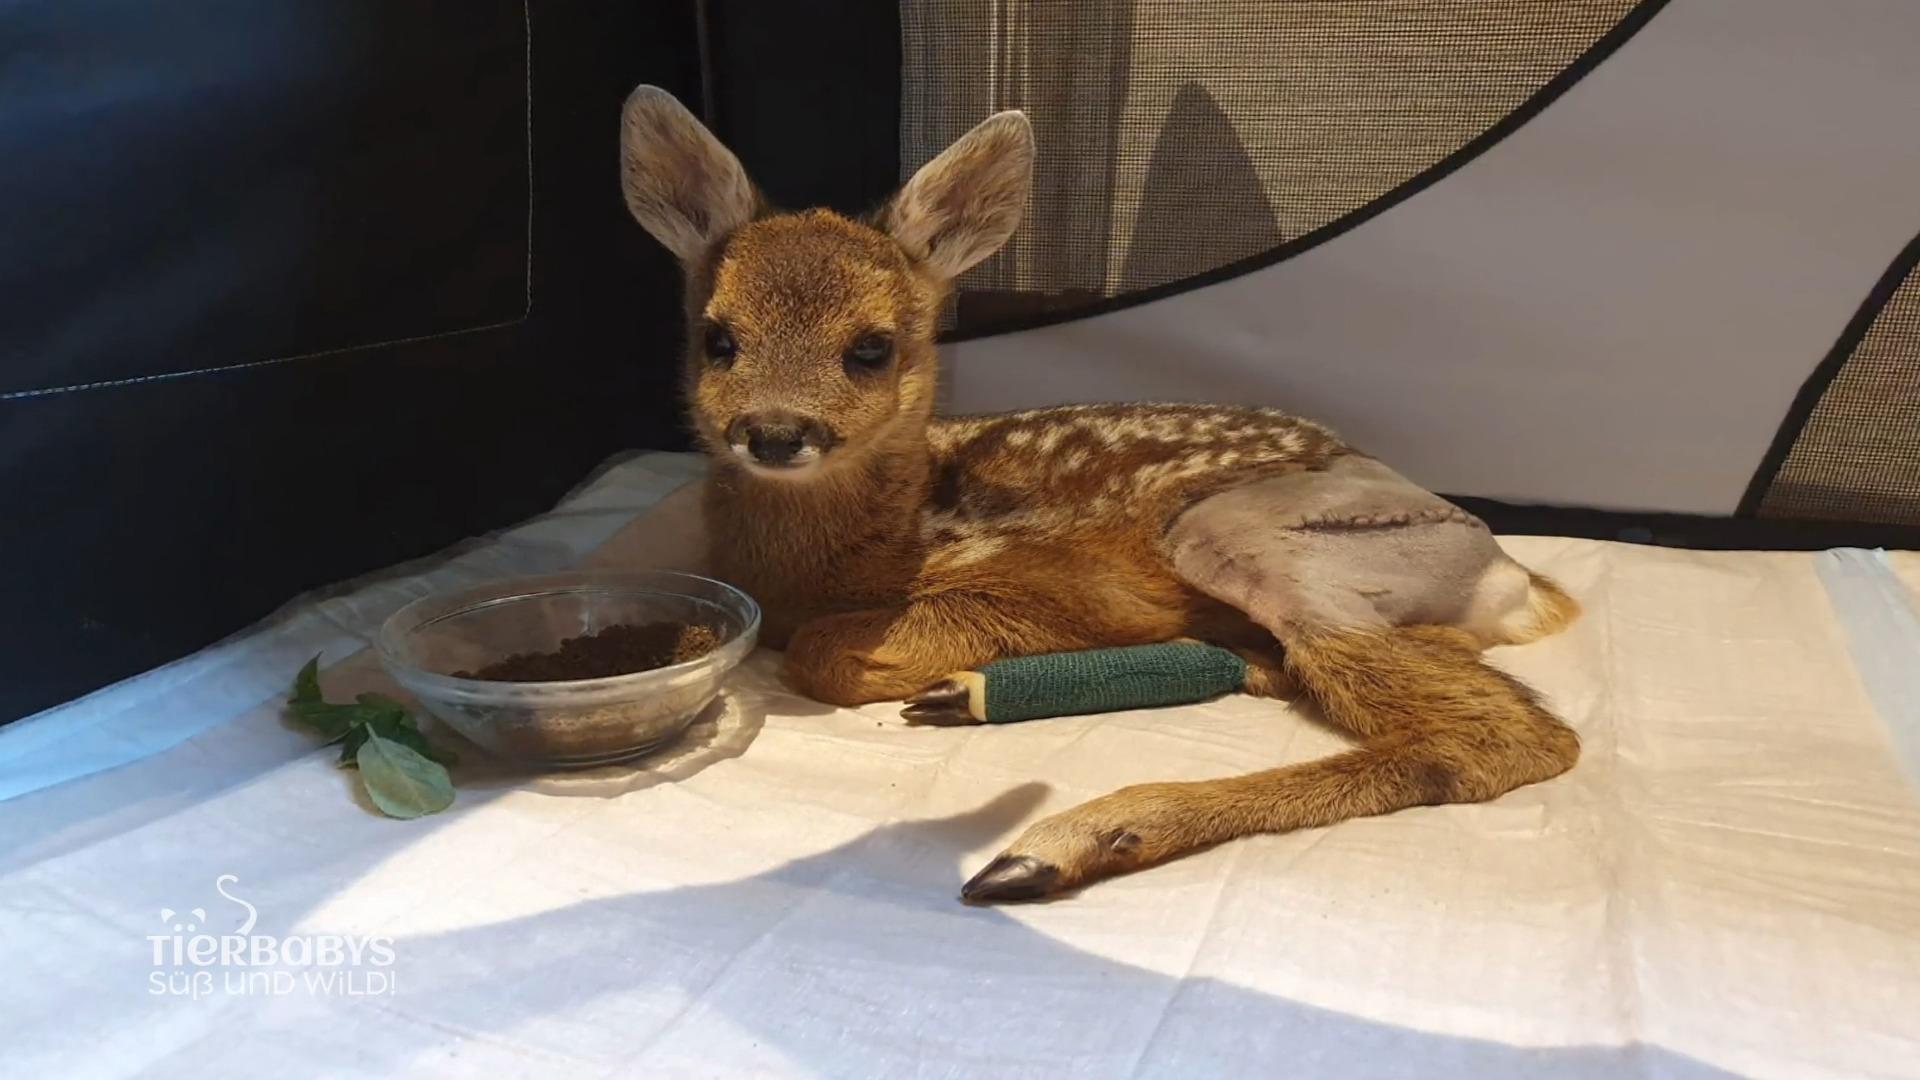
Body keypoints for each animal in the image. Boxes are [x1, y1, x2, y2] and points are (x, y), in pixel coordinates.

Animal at [617, 86, 1582, 904]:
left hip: (1243, 536)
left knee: (1510, 736)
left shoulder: (1062, 590)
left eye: (871, 347)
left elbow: (823, 655)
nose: (775, 430)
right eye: (717, 338)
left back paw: (1060, 841)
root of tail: (1519, 580)